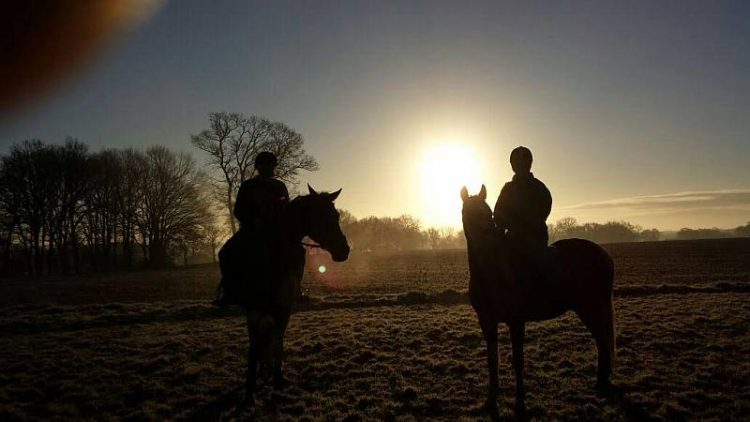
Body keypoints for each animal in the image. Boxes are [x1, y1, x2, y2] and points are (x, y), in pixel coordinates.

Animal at [219, 186, 352, 404]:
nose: (344, 250)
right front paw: (250, 392)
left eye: (336, 215)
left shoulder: (285, 306)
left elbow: (278, 342)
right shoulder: (253, 309)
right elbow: (254, 347)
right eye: (322, 216)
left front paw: (278, 379)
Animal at [458, 185, 616, 416]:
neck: (491, 270)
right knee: (601, 339)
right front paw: (491, 399)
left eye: (488, 213)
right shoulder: (487, 321)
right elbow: (491, 360)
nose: (489, 238)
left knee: (602, 340)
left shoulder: (516, 321)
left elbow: (518, 360)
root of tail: (604, 255)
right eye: (468, 213)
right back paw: (600, 380)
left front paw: (520, 402)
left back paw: (601, 381)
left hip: (590, 307)